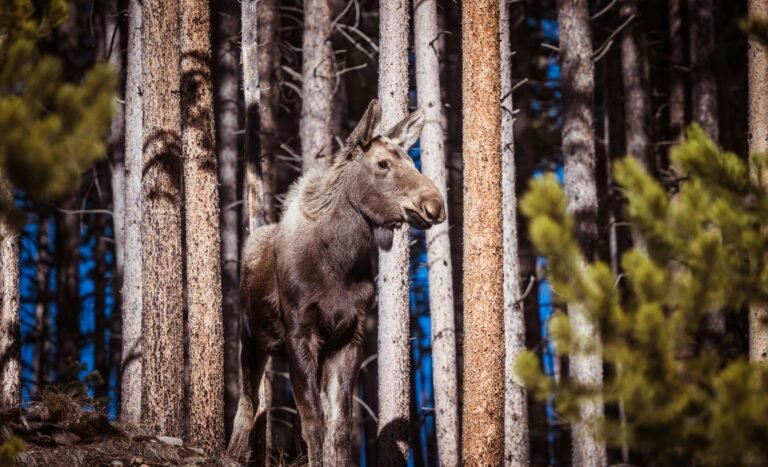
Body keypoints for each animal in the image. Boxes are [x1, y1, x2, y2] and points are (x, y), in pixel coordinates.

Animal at [226, 99, 446, 466]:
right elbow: (314, 419)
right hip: (251, 337)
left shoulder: (348, 336)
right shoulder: (299, 330)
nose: (435, 205)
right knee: (248, 402)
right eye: (382, 163)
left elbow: (339, 425)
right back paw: (231, 453)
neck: (340, 264)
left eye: (412, 160)